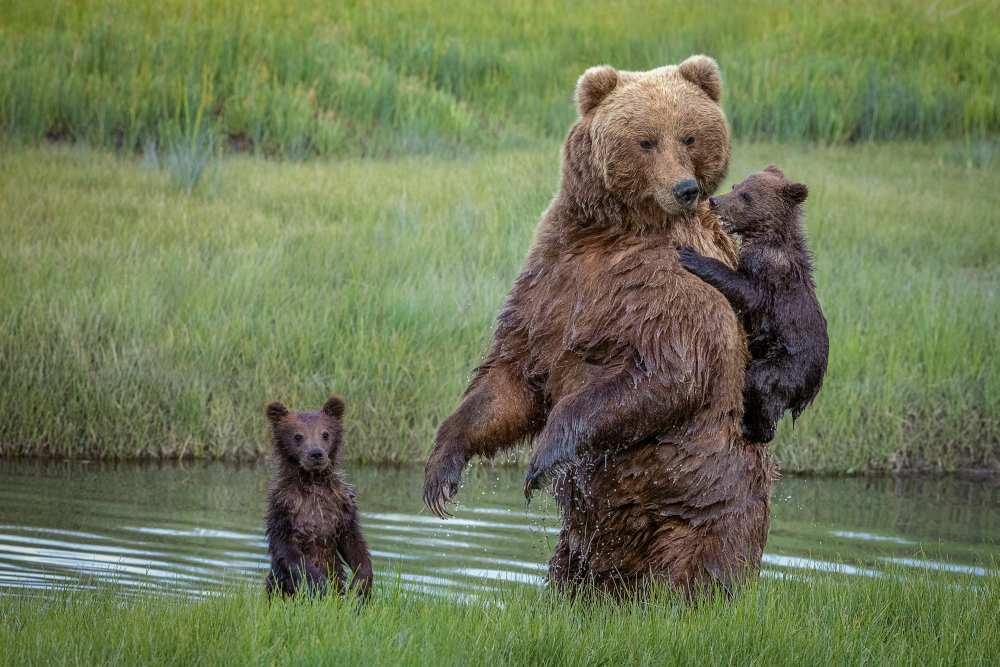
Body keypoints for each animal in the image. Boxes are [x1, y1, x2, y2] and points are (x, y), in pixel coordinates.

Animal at [422, 56, 772, 596]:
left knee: (699, 566)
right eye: (647, 140)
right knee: (575, 570)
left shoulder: (675, 285)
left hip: (704, 501)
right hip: (584, 543)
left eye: (689, 136)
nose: (685, 189)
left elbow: (666, 373)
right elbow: (512, 376)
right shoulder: (553, 278)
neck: (614, 232)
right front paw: (442, 472)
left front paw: (543, 458)